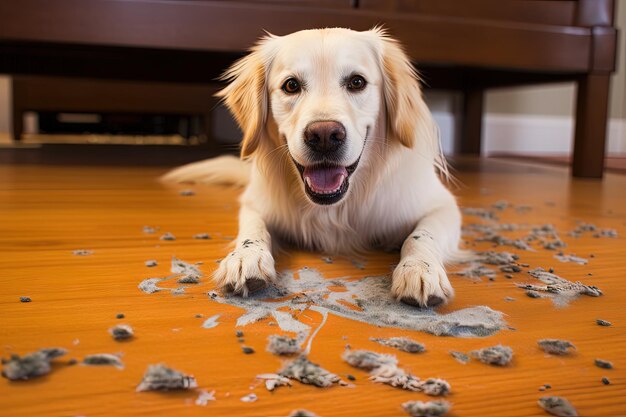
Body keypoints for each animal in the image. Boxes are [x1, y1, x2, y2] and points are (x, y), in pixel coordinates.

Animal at [163, 26, 460, 306]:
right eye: (291, 85)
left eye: (357, 82)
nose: (325, 135)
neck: (337, 209)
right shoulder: (255, 203)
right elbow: (253, 228)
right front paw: (246, 257)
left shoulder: (443, 206)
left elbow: (421, 235)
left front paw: (420, 269)